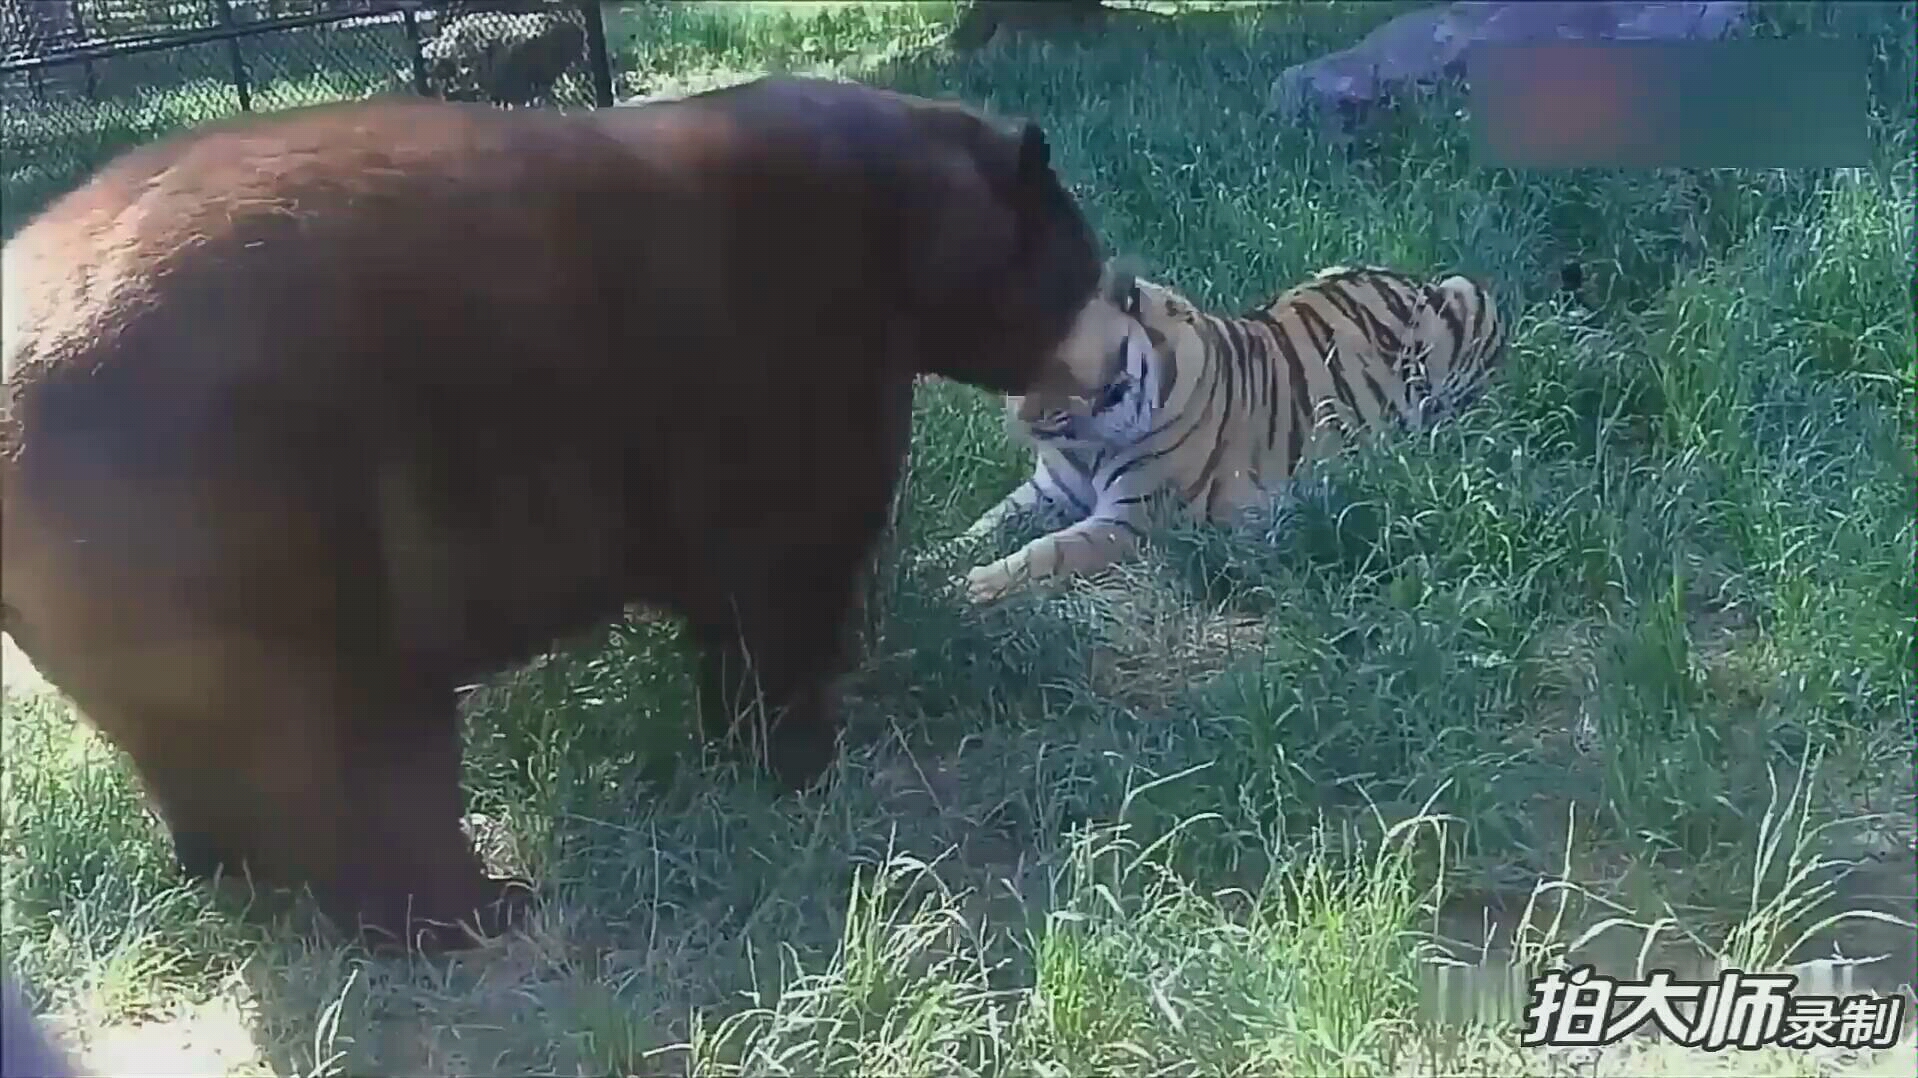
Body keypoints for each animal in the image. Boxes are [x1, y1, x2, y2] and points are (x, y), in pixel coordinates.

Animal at [0, 73, 1120, 947]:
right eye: (1085, 260)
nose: (1105, 363)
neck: (904, 231)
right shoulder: (787, 353)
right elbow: (786, 573)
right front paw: (801, 754)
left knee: (191, 741)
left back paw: (228, 863)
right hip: (257, 524)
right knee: (346, 747)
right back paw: (475, 907)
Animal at [951, 257, 1503, 598]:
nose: (1020, 422)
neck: (1085, 443)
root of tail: (1416, 279)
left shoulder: (1133, 520)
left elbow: (1049, 551)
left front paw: (974, 585)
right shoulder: (1047, 491)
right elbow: (985, 524)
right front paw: (939, 559)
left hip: (1470, 303)